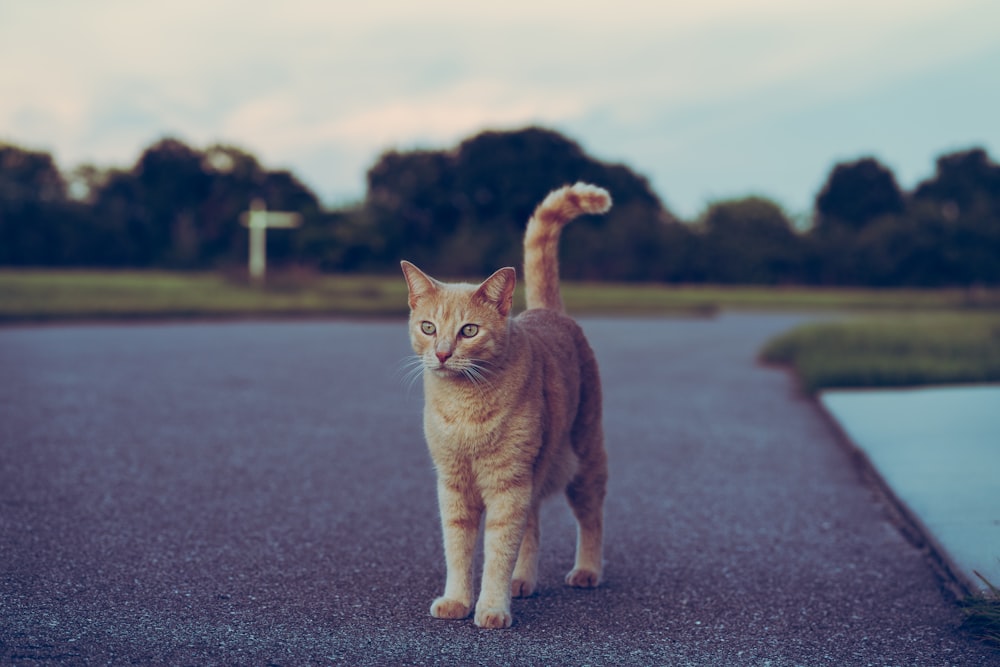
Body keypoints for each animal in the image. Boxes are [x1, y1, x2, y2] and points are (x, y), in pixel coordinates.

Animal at [400, 180, 608, 628]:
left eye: (469, 331)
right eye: (428, 328)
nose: (442, 354)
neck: (463, 405)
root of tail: (545, 310)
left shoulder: (507, 484)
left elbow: (498, 551)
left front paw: (492, 607)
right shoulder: (454, 485)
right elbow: (459, 550)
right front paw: (458, 601)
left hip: (585, 459)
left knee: (590, 518)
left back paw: (587, 571)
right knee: (533, 527)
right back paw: (523, 581)